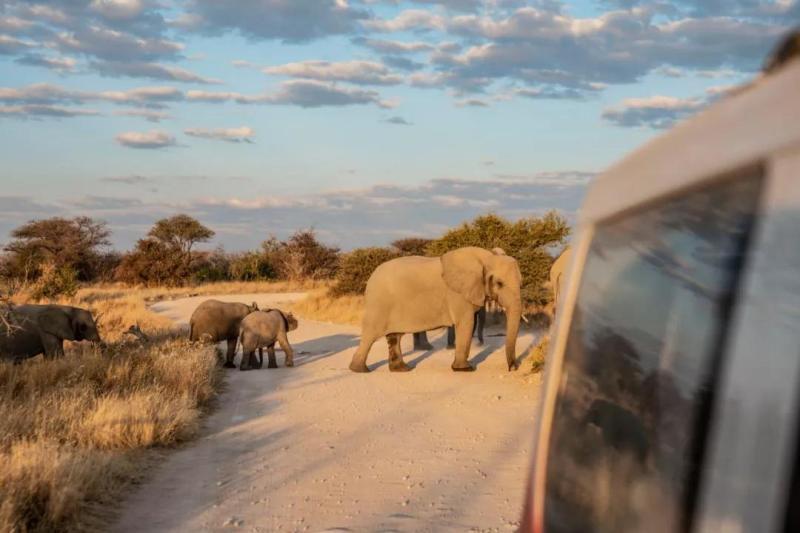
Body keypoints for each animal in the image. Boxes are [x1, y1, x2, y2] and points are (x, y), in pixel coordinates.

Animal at [346, 244, 520, 372]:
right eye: (499, 283)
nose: (513, 368)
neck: (486, 256)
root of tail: (371, 277)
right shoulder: (457, 294)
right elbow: (466, 323)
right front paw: (465, 369)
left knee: (395, 336)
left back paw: (402, 369)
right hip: (379, 304)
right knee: (371, 335)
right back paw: (359, 370)